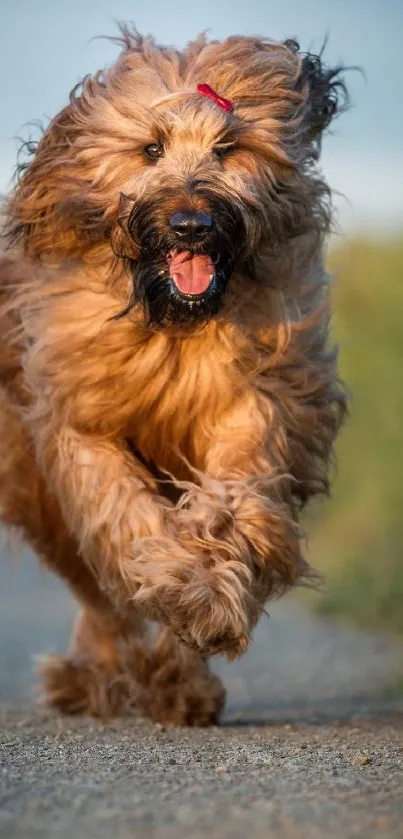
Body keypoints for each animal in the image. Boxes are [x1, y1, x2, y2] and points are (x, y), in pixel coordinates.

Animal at [0, 24, 348, 720]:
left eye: (228, 147)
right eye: (151, 149)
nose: (192, 224)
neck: (174, 325)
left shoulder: (255, 397)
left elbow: (233, 499)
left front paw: (207, 600)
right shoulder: (80, 420)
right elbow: (123, 514)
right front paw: (186, 588)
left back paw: (177, 682)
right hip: (34, 487)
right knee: (96, 589)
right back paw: (103, 676)